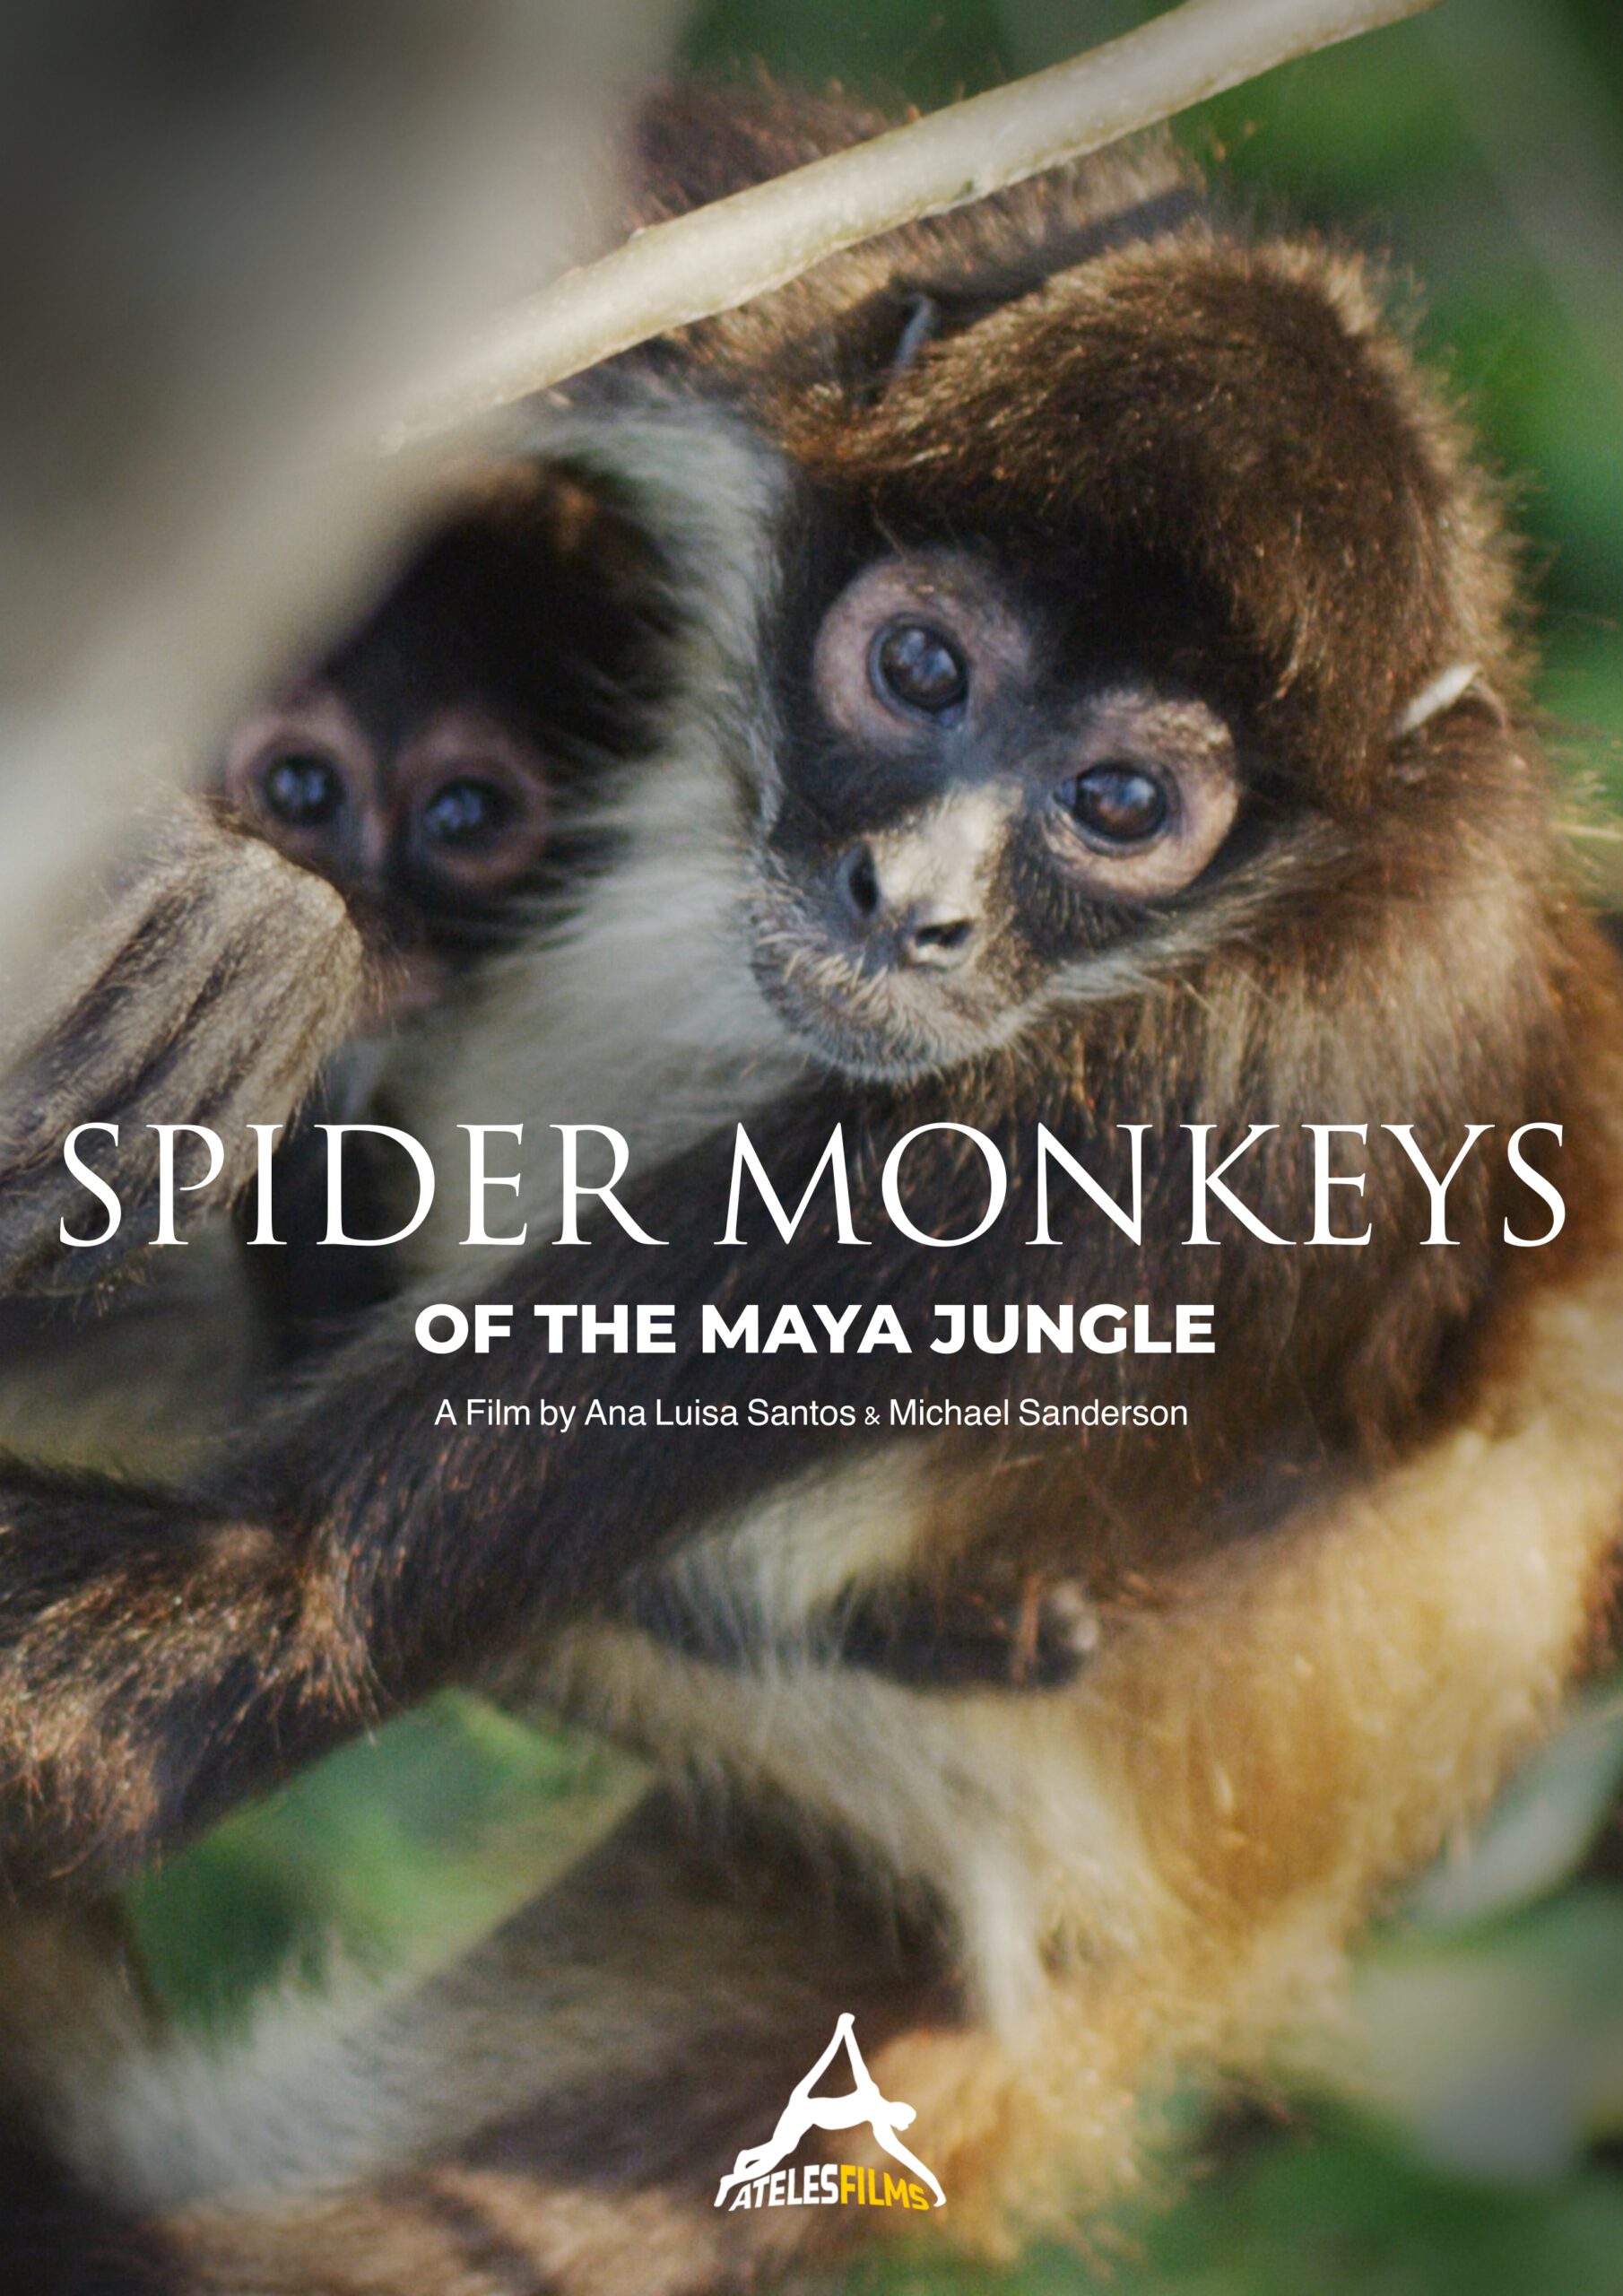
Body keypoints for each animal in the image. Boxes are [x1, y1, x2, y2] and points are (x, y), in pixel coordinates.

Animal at [0, 75, 1618, 2296]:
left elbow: (255, 1603)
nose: (908, 901)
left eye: (1120, 801)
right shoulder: (909, 273)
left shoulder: (1214, 1094)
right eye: (917, 669)